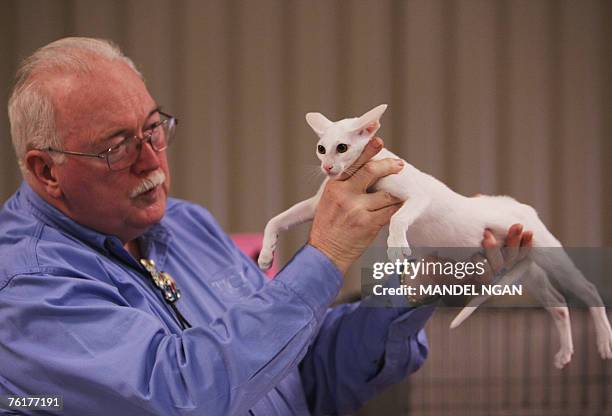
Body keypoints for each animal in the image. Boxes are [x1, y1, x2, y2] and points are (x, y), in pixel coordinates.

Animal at [260, 104, 612, 368]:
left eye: (342, 147)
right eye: (321, 149)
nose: (328, 168)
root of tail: (518, 205)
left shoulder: (417, 197)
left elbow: (399, 218)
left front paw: (396, 247)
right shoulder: (318, 205)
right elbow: (276, 219)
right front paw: (266, 253)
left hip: (548, 251)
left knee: (588, 289)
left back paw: (604, 339)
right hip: (529, 268)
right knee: (559, 304)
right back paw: (565, 352)